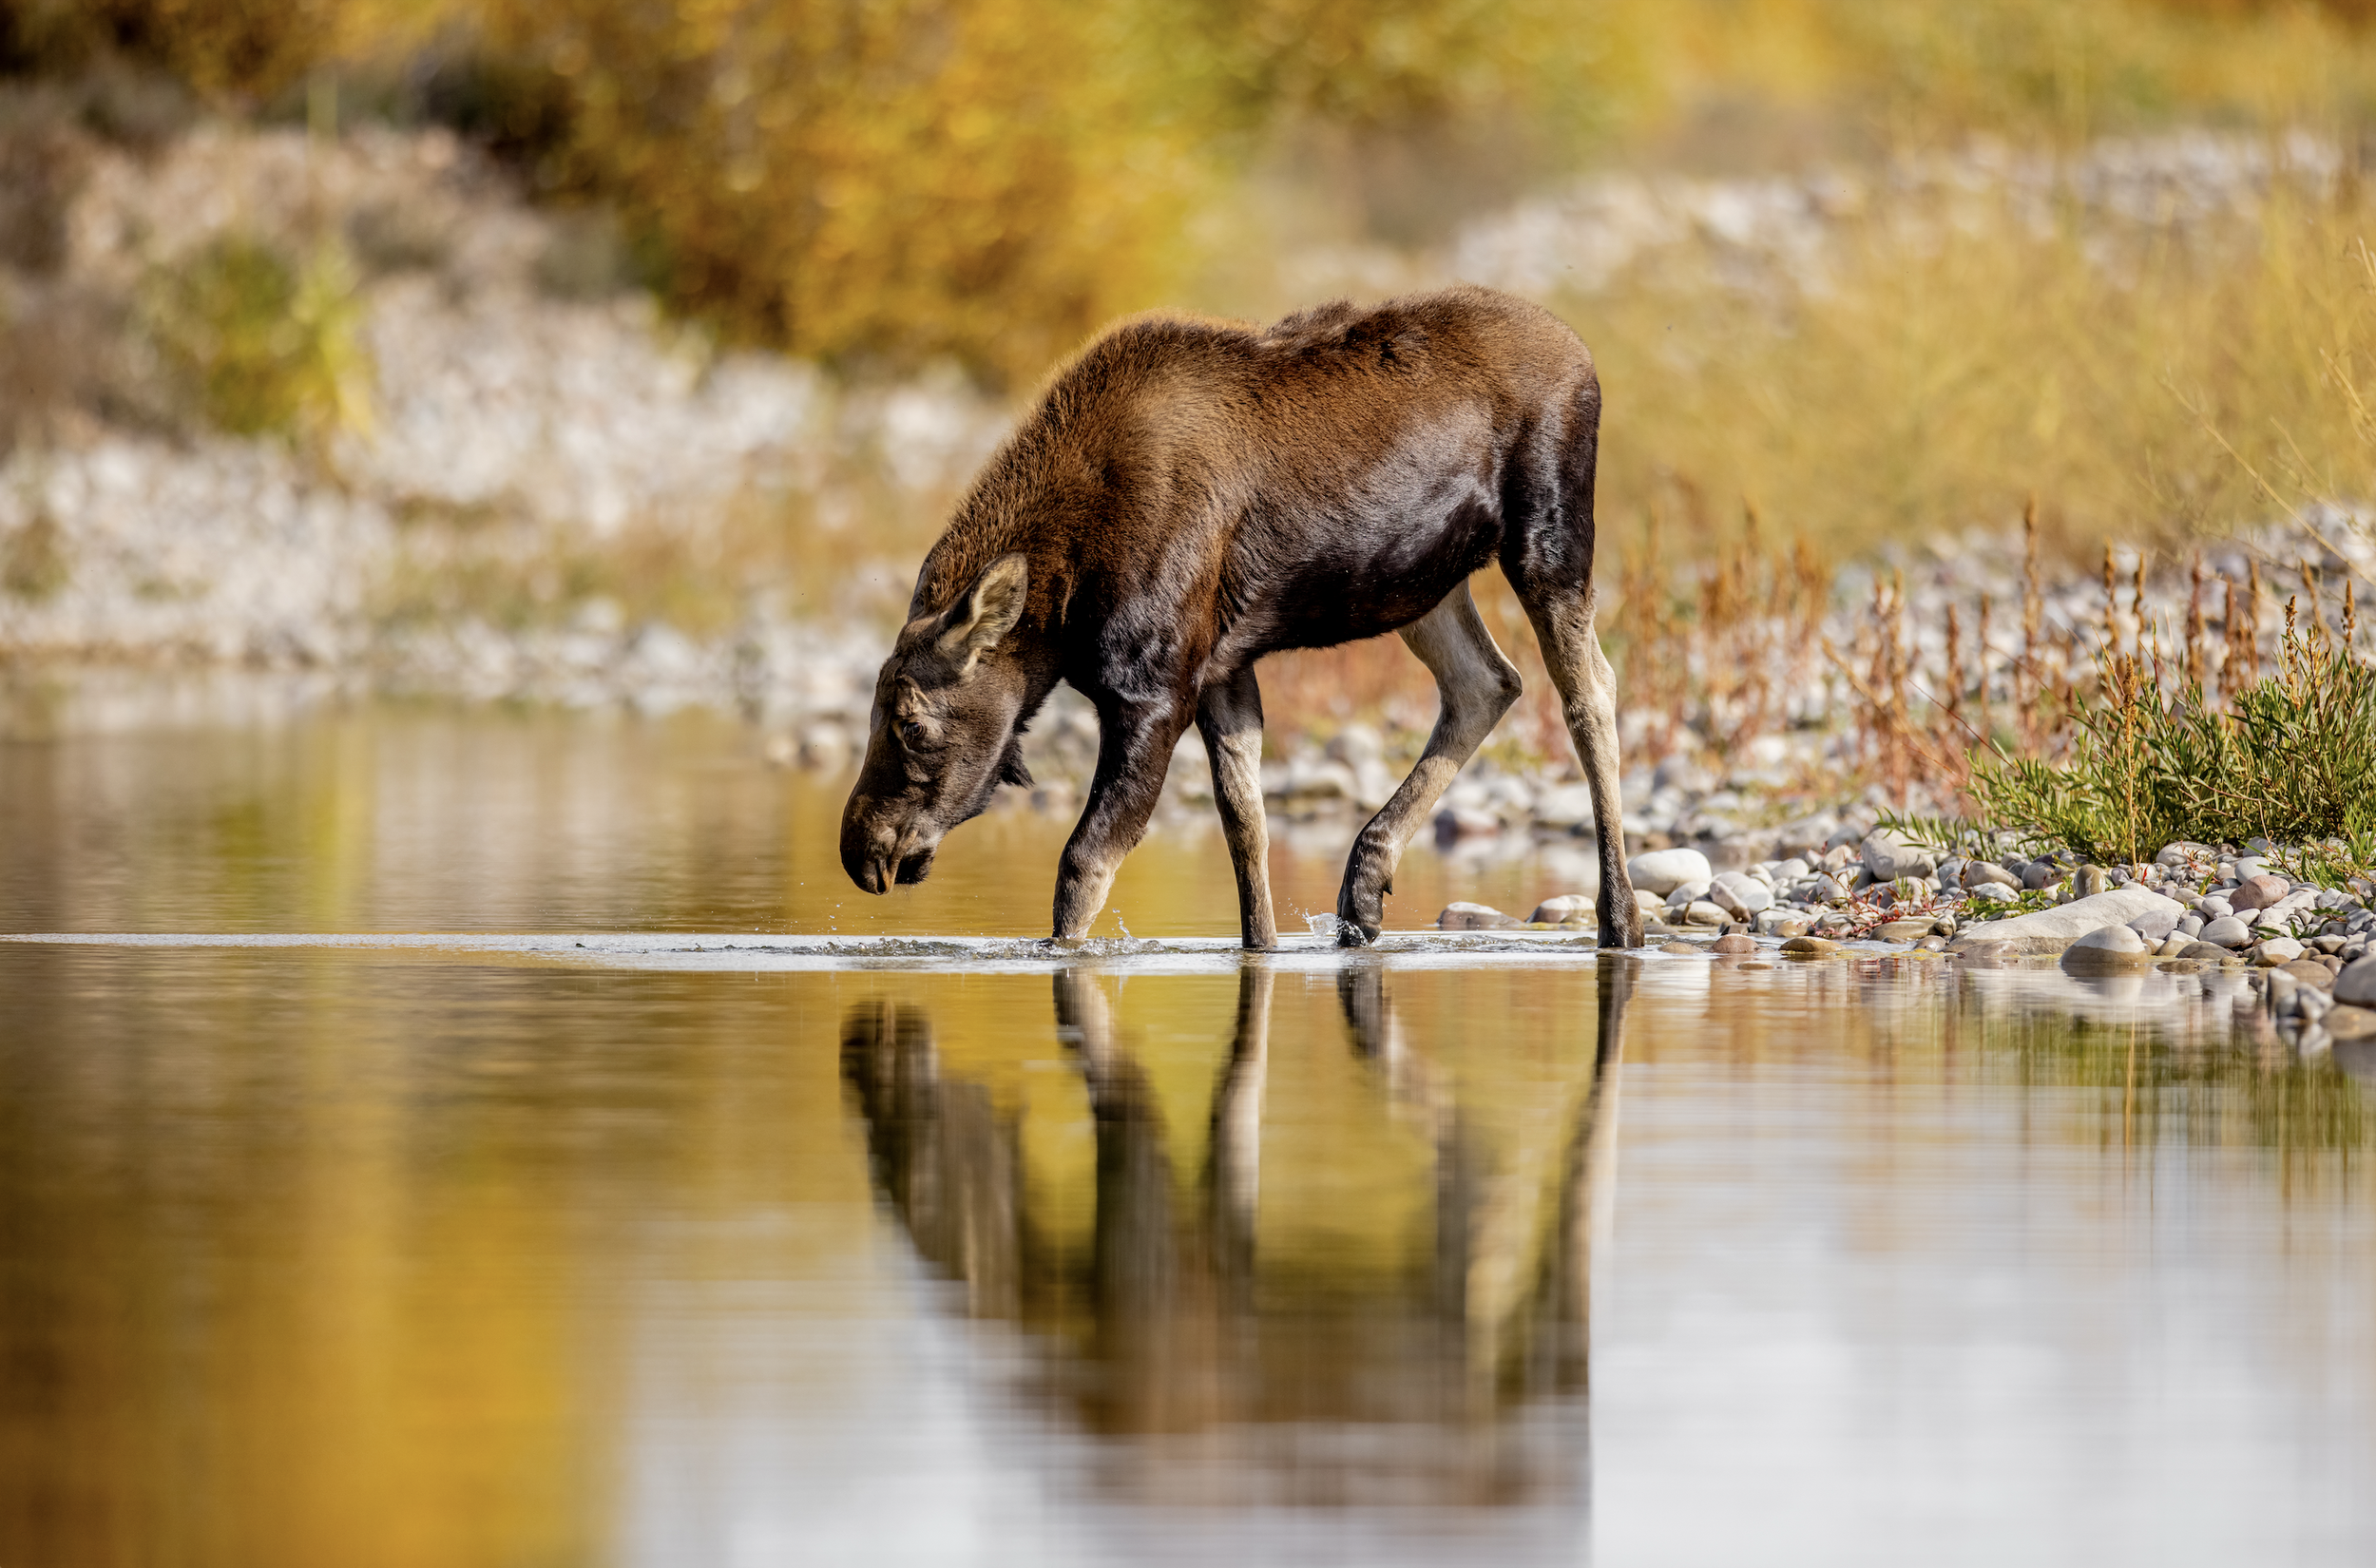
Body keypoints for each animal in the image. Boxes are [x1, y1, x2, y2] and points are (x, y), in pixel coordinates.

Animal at [838, 284, 1643, 950]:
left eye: (910, 723)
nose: (859, 851)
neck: (1059, 609)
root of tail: (1584, 356)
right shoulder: (1222, 670)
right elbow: (1245, 833)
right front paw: (1264, 945)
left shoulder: (1155, 690)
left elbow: (1083, 868)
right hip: (1428, 585)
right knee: (1487, 682)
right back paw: (1364, 885)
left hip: (1549, 539)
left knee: (1588, 693)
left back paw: (1621, 917)